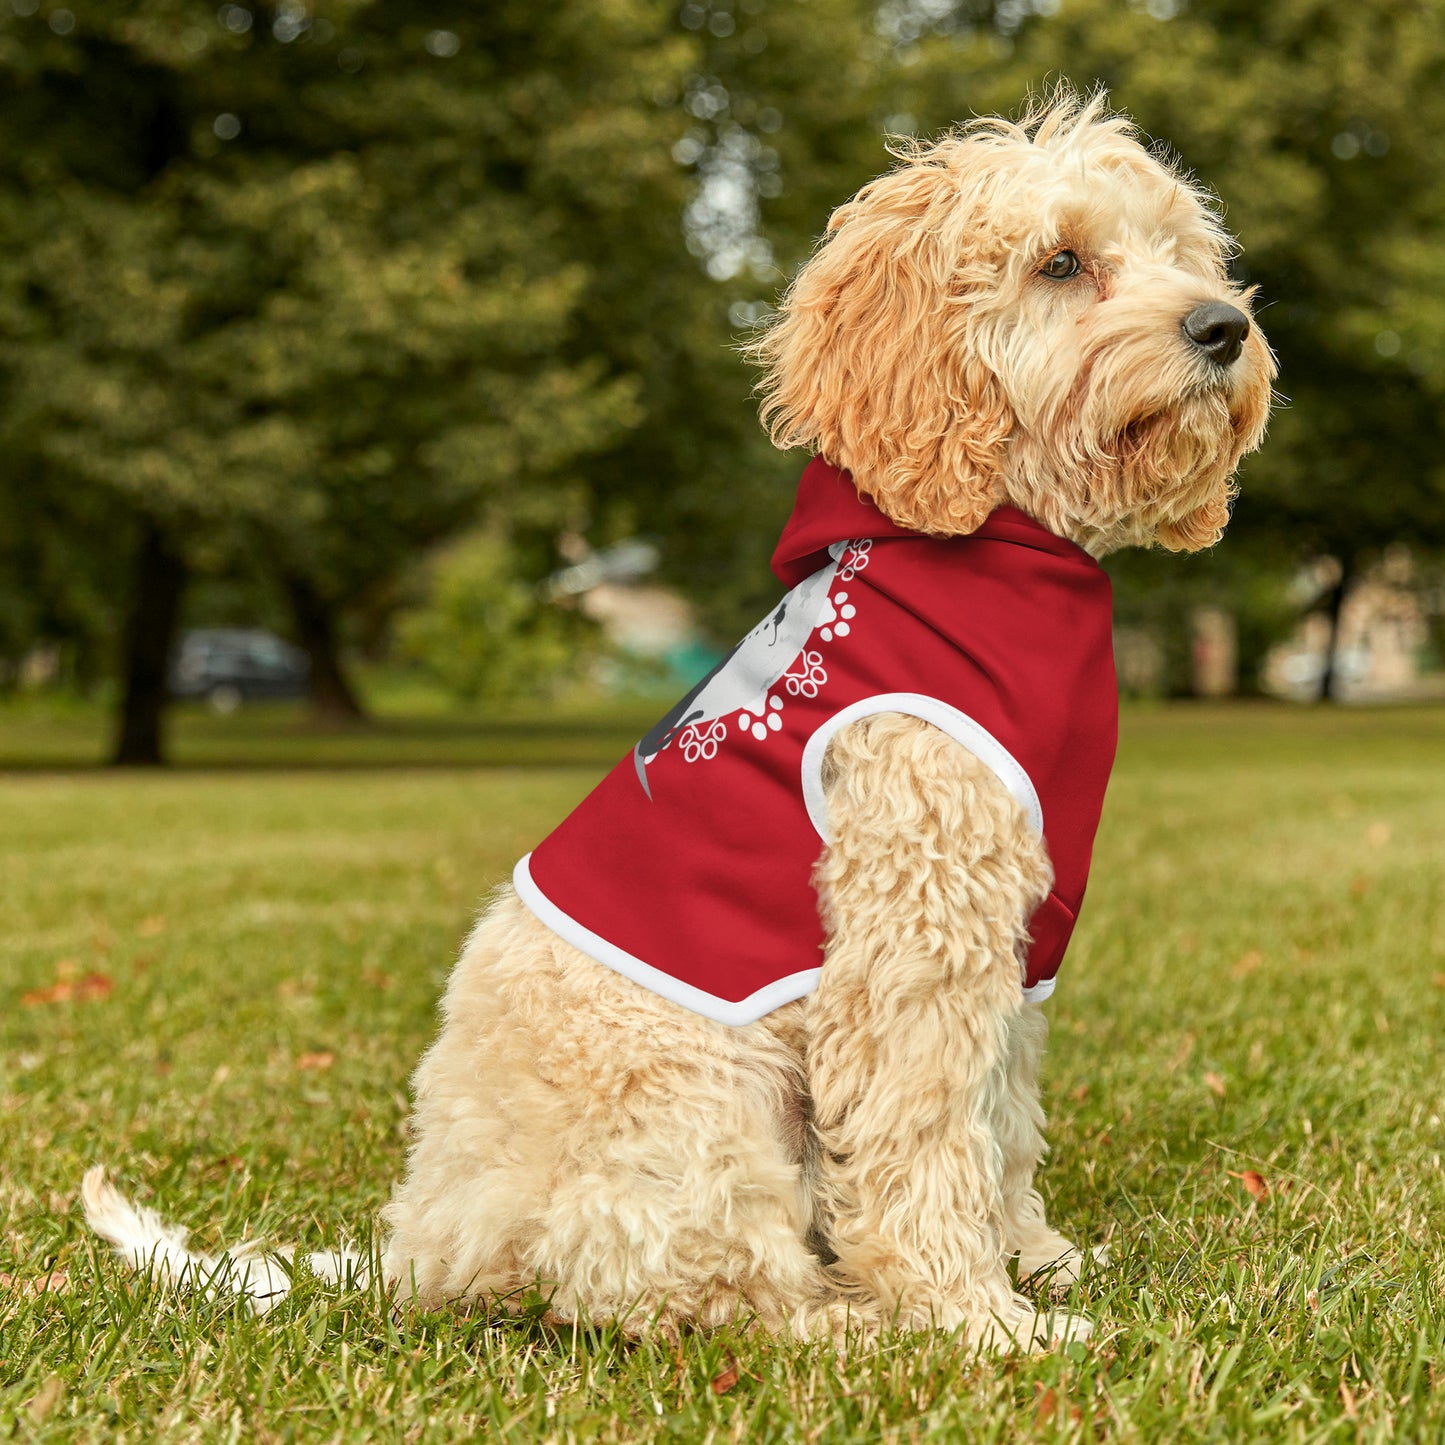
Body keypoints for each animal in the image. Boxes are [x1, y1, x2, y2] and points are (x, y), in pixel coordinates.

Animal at [84, 96, 1271, 1346]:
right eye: (1060, 262)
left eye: (1180, 252)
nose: (1222, 326)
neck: (997, 547)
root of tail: (423, 1247)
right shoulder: (913, 935)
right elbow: (925, 1138)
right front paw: (977, 1319)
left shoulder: (1013, 942)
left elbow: (999, 1120)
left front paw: (1034, 1259)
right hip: (705, 1106)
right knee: (700, 1288)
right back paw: (848, 1319)